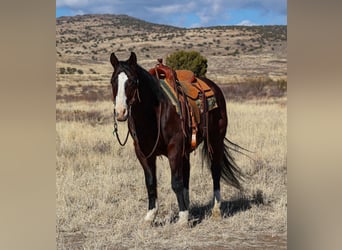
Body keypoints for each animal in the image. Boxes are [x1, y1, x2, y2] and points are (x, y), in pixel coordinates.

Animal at [109, 52, 243, 225]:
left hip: (215, 141)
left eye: (132, 81)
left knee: (215, 171)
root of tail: (214, 87)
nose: (120, 112)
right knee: (187, 174)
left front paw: (182, 218)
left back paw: (215, 210)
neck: (153, 114)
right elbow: (151, 182)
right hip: (186, 151)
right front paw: (151, 216)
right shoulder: (143, 153)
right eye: (113, 81)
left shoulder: (174, 148)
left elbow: (176, 182)